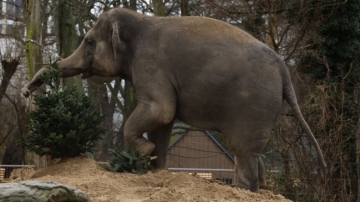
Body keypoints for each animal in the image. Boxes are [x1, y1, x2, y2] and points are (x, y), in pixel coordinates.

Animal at [21, 7, 328, 191]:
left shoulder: (150, 64)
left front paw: (144, 154)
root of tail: (284, 70)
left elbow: (161, 110)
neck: (139, 19)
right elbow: (162, 123)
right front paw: (154, 166)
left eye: (88, 42)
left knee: (243, 149)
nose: (26, 92)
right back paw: (255, 190)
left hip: (252, 105)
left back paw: (242, 190)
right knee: (251, 152)